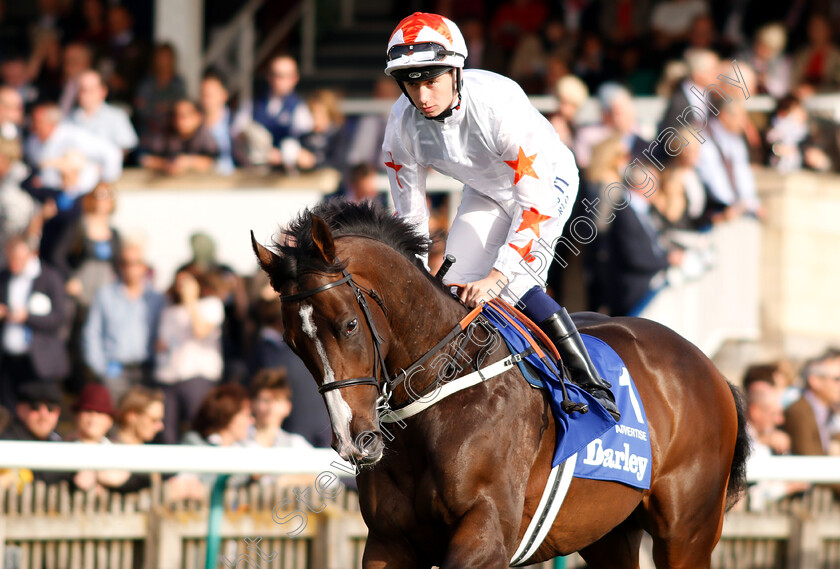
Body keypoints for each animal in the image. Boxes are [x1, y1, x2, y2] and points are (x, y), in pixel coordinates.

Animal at [249, 201, 748, 568]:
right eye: (293, 343)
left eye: (349, 325)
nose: (357, 440)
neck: (441, 390)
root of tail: (709, 367)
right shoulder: (390, 541)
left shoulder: (486, 533)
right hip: (609, 532)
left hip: (687, 532)